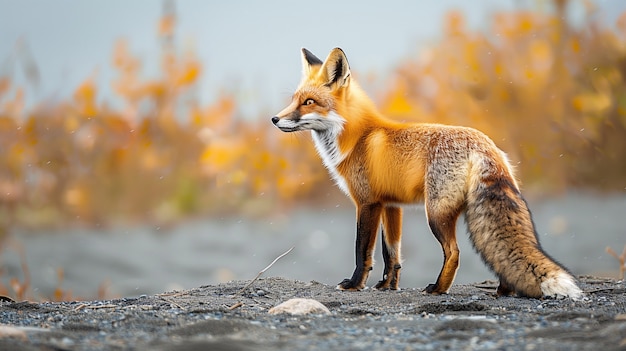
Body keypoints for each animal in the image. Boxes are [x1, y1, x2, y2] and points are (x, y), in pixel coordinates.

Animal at [270, 47, 584, 300]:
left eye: (309, 102)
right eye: (295, 100)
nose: (274, 119)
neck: (356, 137)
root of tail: (484, 143)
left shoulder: (368, 203)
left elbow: (363, 250)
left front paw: (355, 284)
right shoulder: (391, 205)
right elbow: (391, 253)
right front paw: (388, 286)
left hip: (435, 212)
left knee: (454, 252)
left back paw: (438, 289)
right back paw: (504, 291)